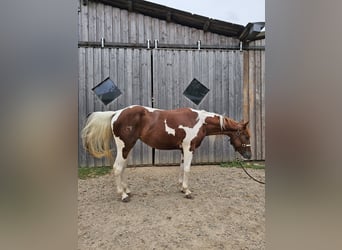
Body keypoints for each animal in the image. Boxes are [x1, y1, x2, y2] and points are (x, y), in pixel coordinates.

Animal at [81, 105, 250, 201]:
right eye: (246, 136)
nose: (249, 155)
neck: (200, 121)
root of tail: (116, 113)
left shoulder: (183, 149)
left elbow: (181, 168)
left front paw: (182, 188)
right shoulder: (189, 147)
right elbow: (187, 169)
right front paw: (187, 191)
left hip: (128, 147)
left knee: (122, 168)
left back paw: (127, 191)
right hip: (125, 146)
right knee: (117, 168)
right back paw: (122, 195)